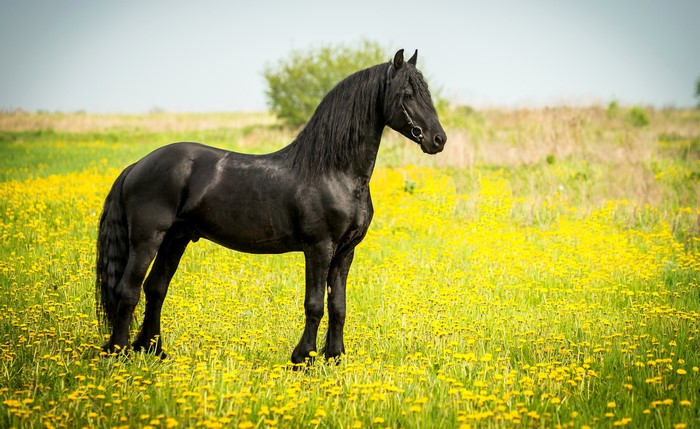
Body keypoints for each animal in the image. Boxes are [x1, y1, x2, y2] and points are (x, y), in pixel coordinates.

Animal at [96, 49, 447, 365]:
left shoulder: (346, 251)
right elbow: (315, 304)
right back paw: (118, 353)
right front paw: (304, 358)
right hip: (147, 239)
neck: (334, 171)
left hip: (175, 238)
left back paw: (152, 349)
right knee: (128, 289)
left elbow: (339, 305)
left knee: (156, 288)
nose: (438, 140)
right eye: (406, 94)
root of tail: (138, 165)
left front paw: (335, 357)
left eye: (426, 92)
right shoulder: (319, 248)